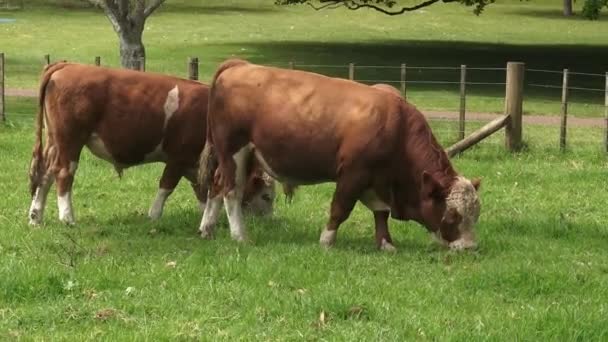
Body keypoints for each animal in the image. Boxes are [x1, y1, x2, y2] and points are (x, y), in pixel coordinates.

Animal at [29, 62, 276, 226]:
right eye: (267, 196)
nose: (269, 220)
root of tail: (68, 65)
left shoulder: (194, 163)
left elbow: (200, 190)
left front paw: (204, 214)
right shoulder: (178, 158)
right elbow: (166, 186)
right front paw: (154, 215)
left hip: (55, 142)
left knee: (45, 174)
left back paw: (35, 216)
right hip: (70, 142)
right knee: (63, 174)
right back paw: (67, 217)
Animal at [197, 58, 482, 251]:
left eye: (476, 214)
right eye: (452, 215)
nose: (469, 247)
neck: (396, 126)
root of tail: (240, 65)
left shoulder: (377, 180)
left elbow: (381, 212)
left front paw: (386, 244)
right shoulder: (354, 173)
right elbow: (340, 208)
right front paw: (327, 240)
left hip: (233, 157)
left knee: (216, 186)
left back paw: (207, 229)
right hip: (234, 152)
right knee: (232, 192)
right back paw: (240, 236)